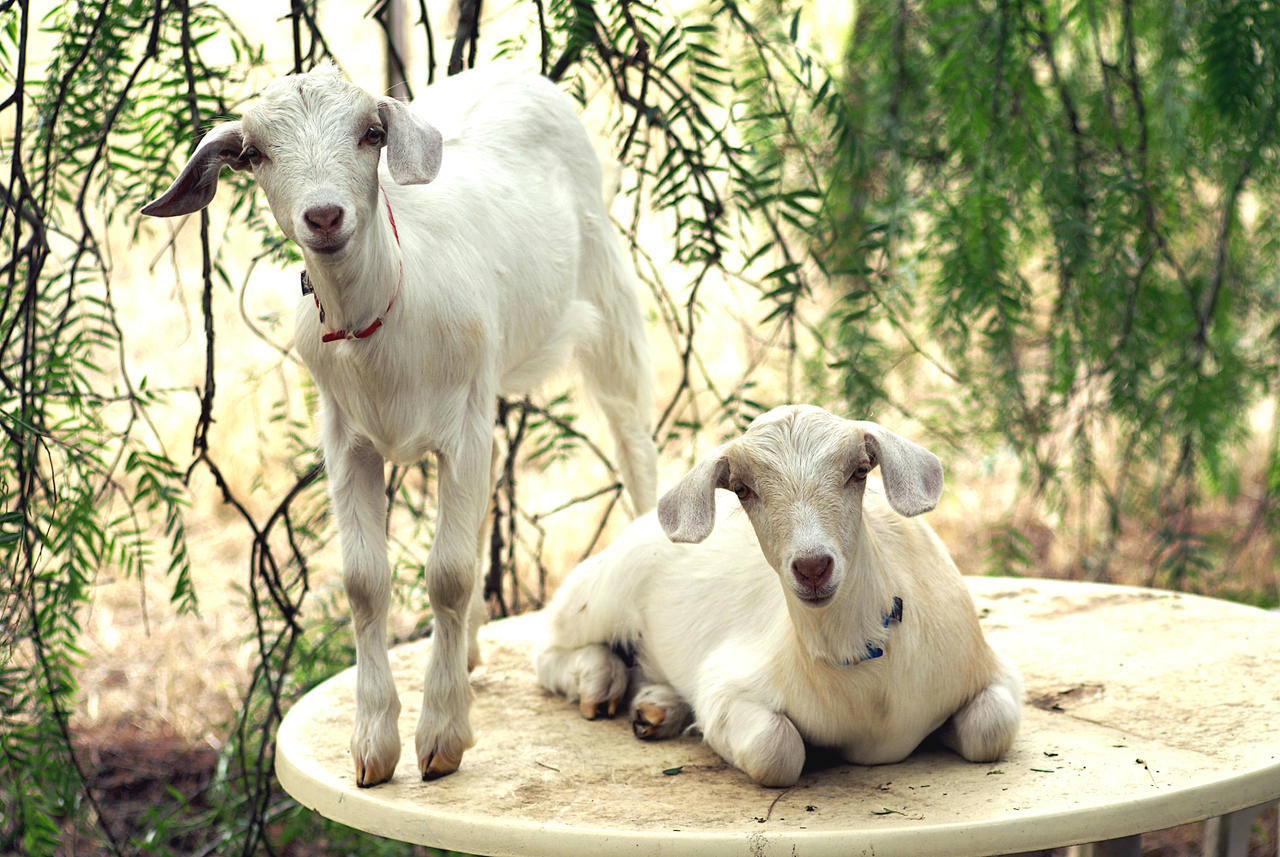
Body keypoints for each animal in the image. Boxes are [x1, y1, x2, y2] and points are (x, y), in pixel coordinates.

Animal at [143, 63, 659, 786]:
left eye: (370, 134)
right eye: (256, 153)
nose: (324, 215)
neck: (382, 317)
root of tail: (515, 68)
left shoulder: (460, 424)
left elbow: (447, 574)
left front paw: (441, 737)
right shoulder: (347, 437)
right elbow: (365, 581)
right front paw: (373, 747)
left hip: (608, 308)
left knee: (635, 450)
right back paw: (467, 648)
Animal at [535, 405, 1021, 787]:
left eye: (859, 471)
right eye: (743, 489)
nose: (812, 567)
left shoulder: (992, 669)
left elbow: (992, 730)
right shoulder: (725, 687)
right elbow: (777, 750)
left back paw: (656, 707)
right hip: (600, 593)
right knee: (548, 651)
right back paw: (598, 680)